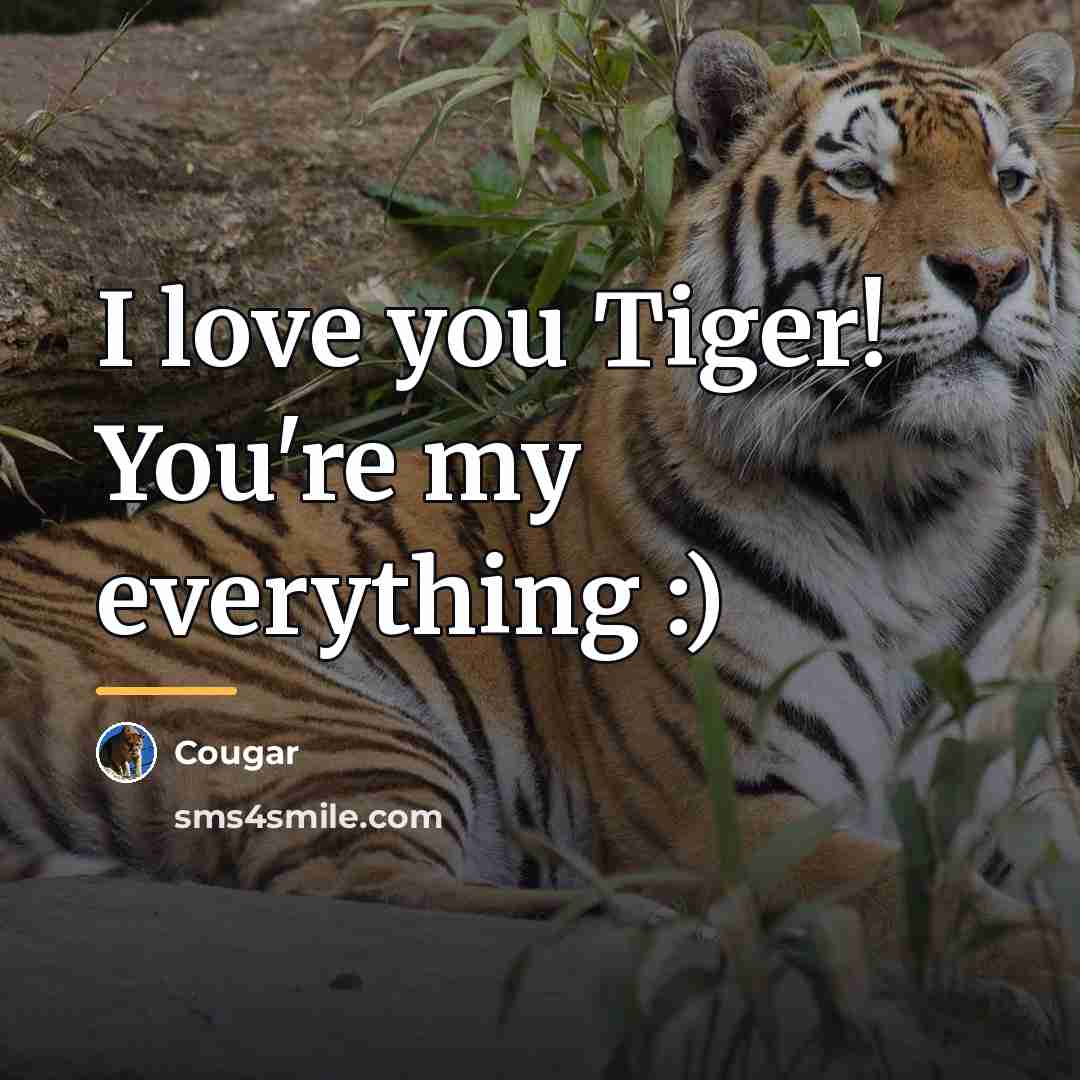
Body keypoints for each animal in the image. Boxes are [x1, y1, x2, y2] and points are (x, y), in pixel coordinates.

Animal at [1, 29, 1079, 1004]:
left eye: (1012, 181)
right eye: (859, 178)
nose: (990, 273)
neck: (908, 506)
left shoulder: (1019, 780)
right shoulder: (726, 808)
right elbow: (934, 899)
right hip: (310, 714)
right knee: (357, 888)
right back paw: (640, 923)